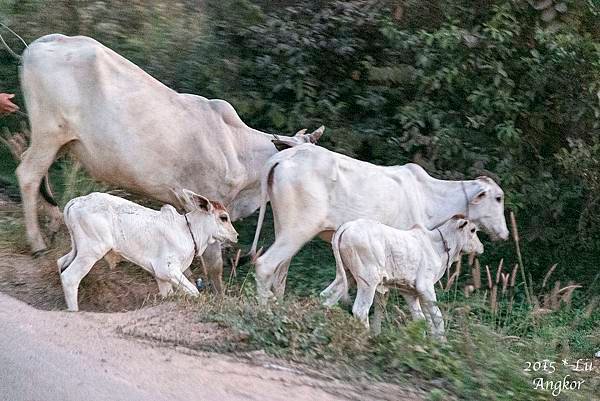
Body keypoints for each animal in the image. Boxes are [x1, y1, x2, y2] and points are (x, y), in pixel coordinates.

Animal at [15, 33, 324, 290]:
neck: (240, 151)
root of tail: (45, 41)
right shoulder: (210, 203)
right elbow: (214, 266)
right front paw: (216, 296)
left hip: (60, 141)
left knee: (39, 175)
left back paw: (54, 224)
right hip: (49, 133)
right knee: (28, 174)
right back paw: (37, 242)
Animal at [57, 189, 238, 310]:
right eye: (223, 218)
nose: (235, 235)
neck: (188, 231)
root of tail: (76, 201)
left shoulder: (162, 278)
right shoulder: (168, 269)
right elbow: (194, 291)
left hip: (77, 249)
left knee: (61, 263)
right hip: (91, 251)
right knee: (70, 277)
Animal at [251, 144, 508, 304]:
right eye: (498, 198)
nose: (505, 233)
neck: (430, 198)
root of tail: (282, 157)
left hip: (284, 227)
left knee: (280, 272)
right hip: (298, 229)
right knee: (265, 265)